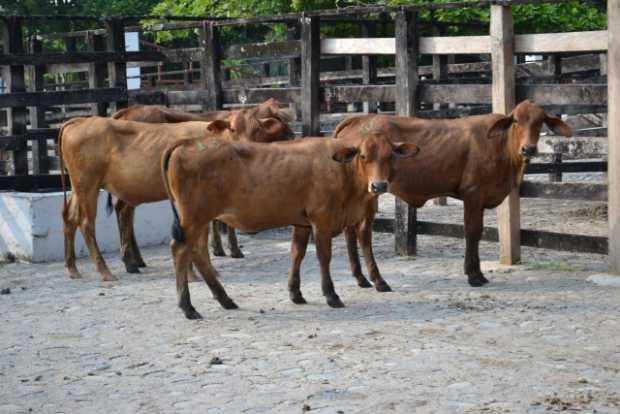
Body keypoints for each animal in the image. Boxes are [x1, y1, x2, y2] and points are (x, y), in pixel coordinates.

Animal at [111, 98, 296, 264]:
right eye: (233, 129)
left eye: (258, 129)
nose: (293, 135)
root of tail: (128, 110)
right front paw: (233, 249)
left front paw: (218, 248)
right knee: (124, 212)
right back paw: (130, 260)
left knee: (124, 212)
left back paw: (136, 259)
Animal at [162, 134, 418, 318]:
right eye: (363, 156)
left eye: (390, 156)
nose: (379, 186)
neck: (342, 172)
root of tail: (186, 142)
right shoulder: (321, 220)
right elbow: (323, 256)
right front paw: (331, 295)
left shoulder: (302, 223)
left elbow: (297, 253)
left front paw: (295, 293)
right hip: (193, 218)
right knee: (181, 250)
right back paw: (188, 307)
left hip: (201, 220)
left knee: (199, 253)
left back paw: (225, 300)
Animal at [334, 100, 572, 288]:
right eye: (516, 121)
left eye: (540, 122)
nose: (528, 149)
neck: (501, 146)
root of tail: (357, 119)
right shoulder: (473, 194)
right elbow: (473, 232)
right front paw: (474, 275)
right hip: (371, 191)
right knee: (362, 232)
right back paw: (377, 280)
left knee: (350, 231)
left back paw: (361, 278)